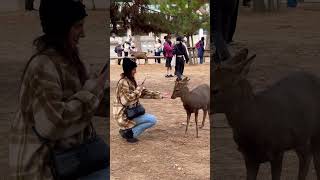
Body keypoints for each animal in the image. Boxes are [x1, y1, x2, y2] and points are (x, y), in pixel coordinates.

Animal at [212, 47, 320, 180]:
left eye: (215, 90)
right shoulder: (249, 157)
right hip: (301, 138)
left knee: (309, 158)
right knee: (308, 157)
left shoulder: (277, 151)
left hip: (311, 134)